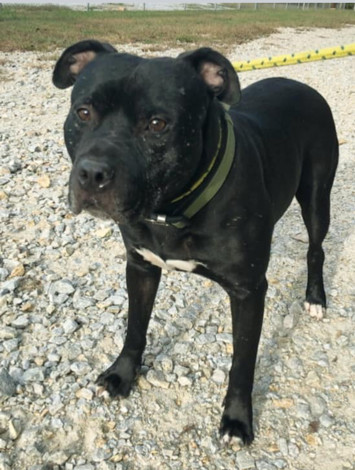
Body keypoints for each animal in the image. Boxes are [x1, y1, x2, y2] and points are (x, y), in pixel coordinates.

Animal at [52, 40, 340, 444]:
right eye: (83, 111)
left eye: (157, 124)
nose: (92, 173)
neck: (172, 209)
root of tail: (300, 84)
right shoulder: (140, 267)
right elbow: (135, 328)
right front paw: (122, 375)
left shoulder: (248, 291)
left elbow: (243, 360)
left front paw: (237, 419)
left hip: (316, 198)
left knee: (316, 249)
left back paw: (315, 298)